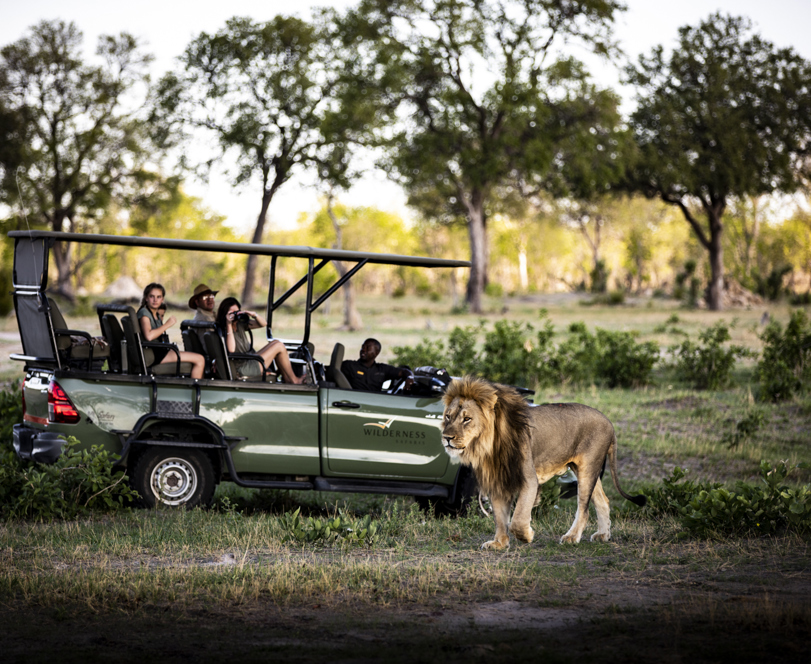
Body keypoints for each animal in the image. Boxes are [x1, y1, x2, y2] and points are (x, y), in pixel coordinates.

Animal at [441, 376, 646, 549]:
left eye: (467, 419)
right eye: (448, 417)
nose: (446, 437)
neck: (487, 446)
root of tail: (609, 421)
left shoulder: (529, 479)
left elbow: (517, 518)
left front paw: (526, 536)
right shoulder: (497, 480)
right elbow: (499, 517)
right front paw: (499, 543)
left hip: (588, 468)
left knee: (584, 508)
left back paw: (572, 537)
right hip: (584, 469)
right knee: (603, 501)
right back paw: (603, 535)